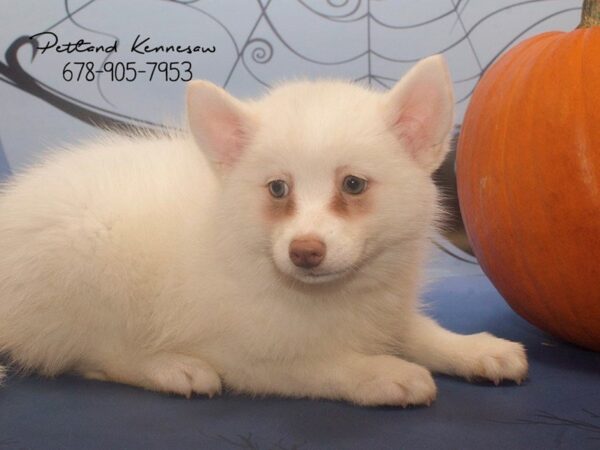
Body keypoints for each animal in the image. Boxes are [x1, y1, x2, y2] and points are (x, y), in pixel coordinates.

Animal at [0, 55, 524, 404]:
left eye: (353, 184)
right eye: (277, 188)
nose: (305, 251)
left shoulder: (382, 312)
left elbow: (418, 332)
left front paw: (475, 349)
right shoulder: (245, 356)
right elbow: (319, 365)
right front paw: (381, 373)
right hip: (87, 262)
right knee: (96, 355)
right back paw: (172, 367)